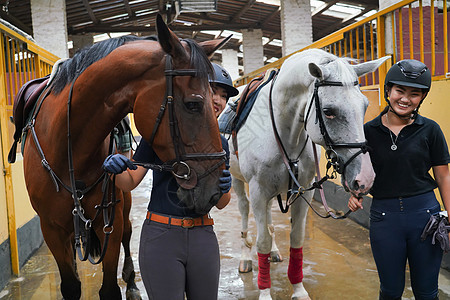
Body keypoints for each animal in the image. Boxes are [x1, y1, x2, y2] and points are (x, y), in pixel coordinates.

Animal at [18, 15, 229, 298]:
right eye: (193, 104)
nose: (215, 190)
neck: (66, 150)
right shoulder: (51, 229)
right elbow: (71, 285)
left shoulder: (111, 221)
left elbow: (109, 287)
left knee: (129, 234)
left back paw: (131, 283)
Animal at [230, 48, 388, 298]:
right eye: (328, 111)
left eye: (364, 106)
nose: (365, 178)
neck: (285, 133)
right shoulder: (258, 190)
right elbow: (262, 241)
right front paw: (264, 292)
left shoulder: (303, 190)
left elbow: (296, 239)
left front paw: (298, 289)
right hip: (238, 181)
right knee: (245, 212)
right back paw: (246, 258)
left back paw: (274, 251)